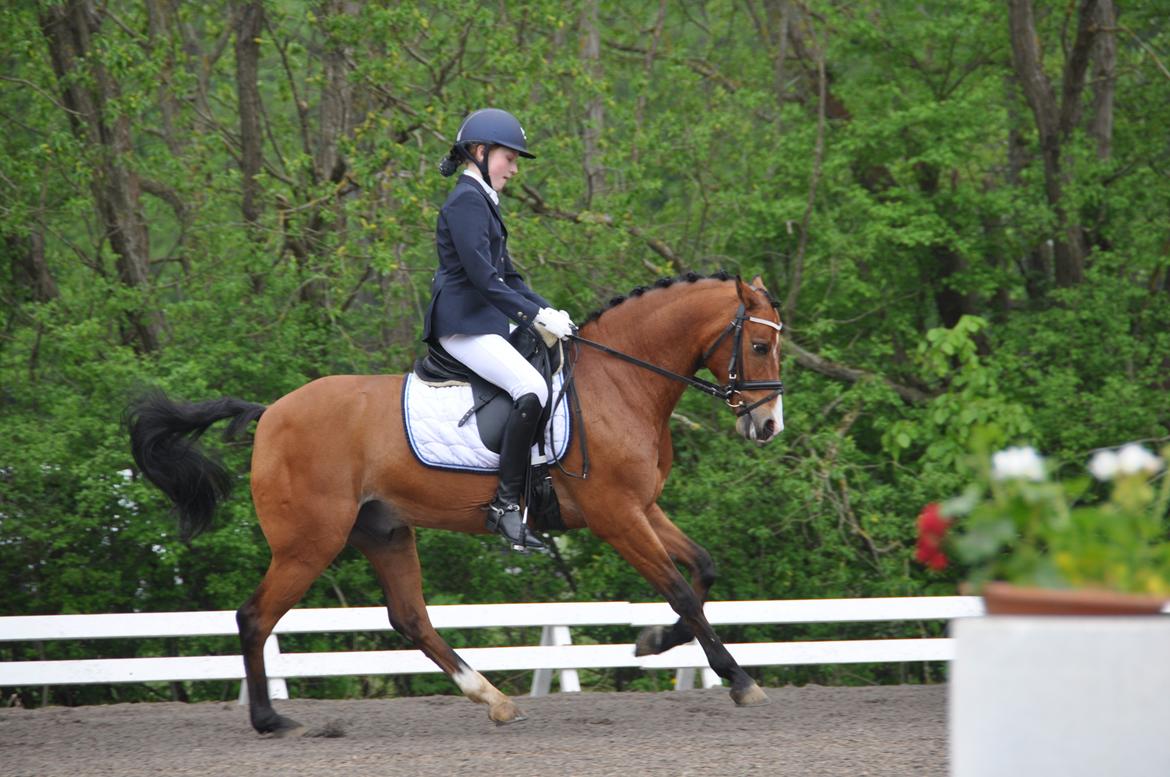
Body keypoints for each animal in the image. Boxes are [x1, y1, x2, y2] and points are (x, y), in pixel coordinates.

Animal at [128, 272, 785, 736]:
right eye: (758, 345)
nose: (769, 426)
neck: (619, 384)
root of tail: (270, 415)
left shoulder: (642, 508)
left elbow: (703, 570)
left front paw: (654, 643)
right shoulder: (616, 516)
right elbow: (679, 588)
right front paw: (738, 679)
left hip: (384, 531)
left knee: (409, 618)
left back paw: (493, 699)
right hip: (308, 543)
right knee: (255, 617)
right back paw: (270, 720)